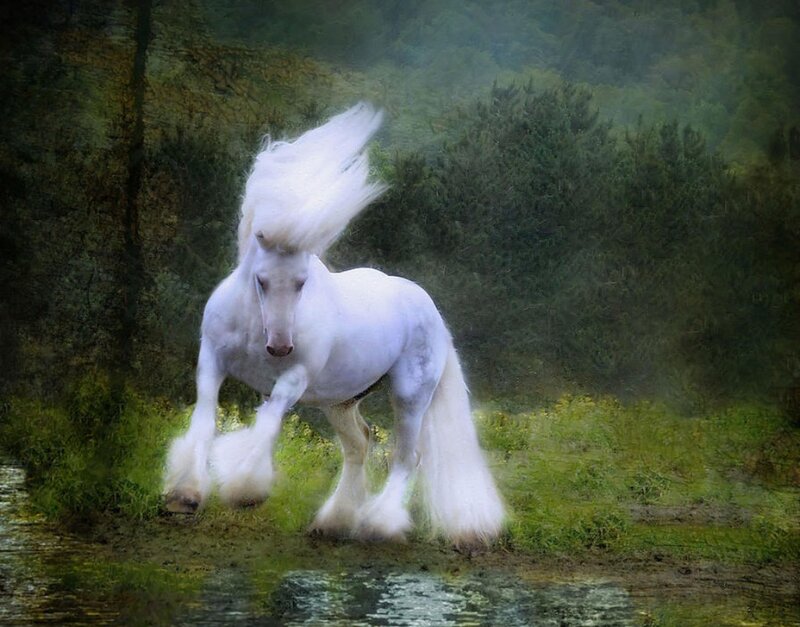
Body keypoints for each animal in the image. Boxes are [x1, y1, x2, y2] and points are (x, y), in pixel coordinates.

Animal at [163, 103, 505, 544]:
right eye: (261, 279)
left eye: (302, 281)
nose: (279, 347)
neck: (256, 324)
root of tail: (431, 312)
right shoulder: (211, 360)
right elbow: (204, 420)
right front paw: (184, 495)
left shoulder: (294, 380)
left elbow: (267, 424)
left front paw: (244, 489)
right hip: (341, 400)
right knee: (361, 443)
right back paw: (335, 521)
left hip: (410, 395)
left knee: (406, 456)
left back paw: (379, 523)